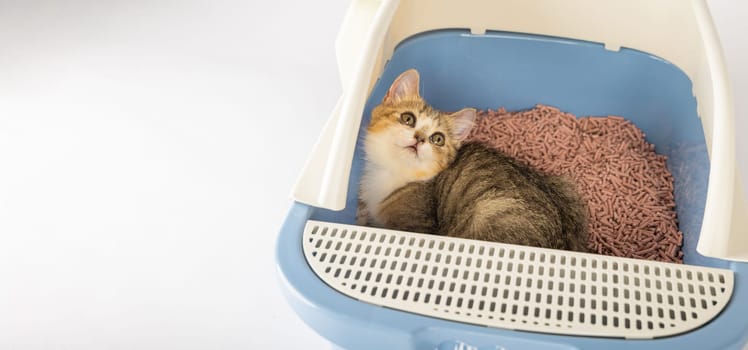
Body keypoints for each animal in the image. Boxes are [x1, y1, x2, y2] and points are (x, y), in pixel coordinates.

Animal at [358, 69, 592, 253]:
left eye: (437, 139)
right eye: (408, 118)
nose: (420, 138)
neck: (393, 170)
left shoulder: (420, 225)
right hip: (565, 187)